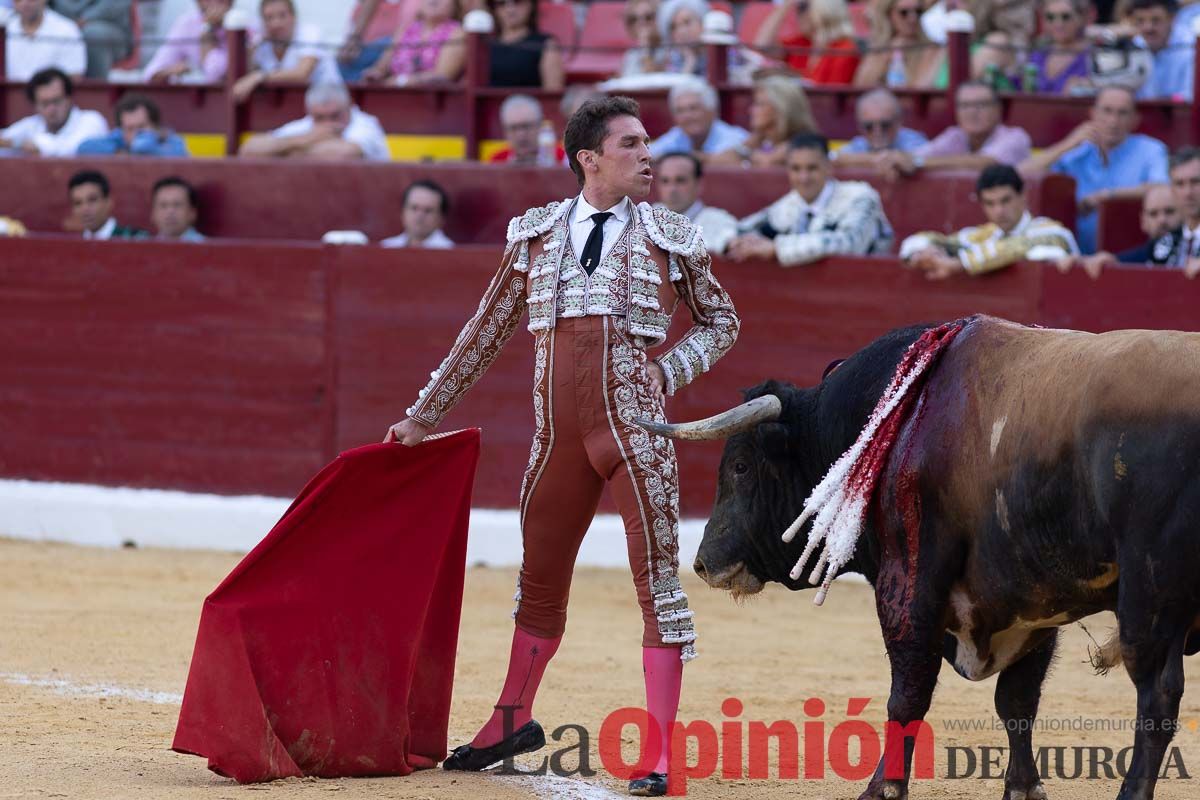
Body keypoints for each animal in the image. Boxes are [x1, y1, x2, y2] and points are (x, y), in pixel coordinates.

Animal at [643, 316, 1200, 796]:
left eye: (740, 466)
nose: (702, 562)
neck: (902, 420)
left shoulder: (911, 583)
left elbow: (908, 694)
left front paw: (882, 787)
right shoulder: (1036, 603)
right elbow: (1017, 700)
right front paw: (1023, 788)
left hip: (1148, 600)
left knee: (1157, 698)